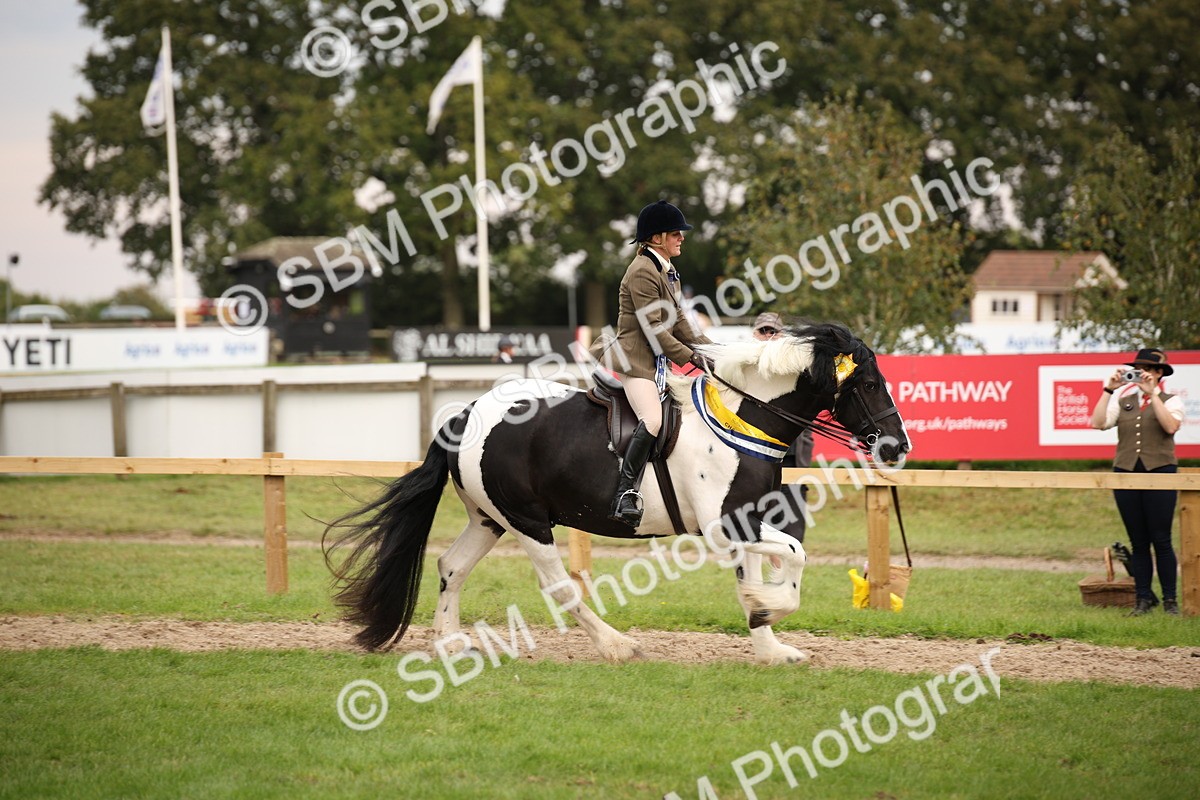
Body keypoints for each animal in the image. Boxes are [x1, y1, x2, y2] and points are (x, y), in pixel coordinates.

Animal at [323, 322, 910, 665]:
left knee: (451, 566)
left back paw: (448, 642)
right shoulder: (725, 524)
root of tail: (466, 414)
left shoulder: (744, 518)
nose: (898, 445)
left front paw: (767, 638)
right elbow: (792, 552)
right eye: (869, 383)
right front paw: (770, 609)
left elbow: (764, 566)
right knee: (560, 587)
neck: (745, 417)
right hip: (529, 521)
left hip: (490, 518)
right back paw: (617, 645)